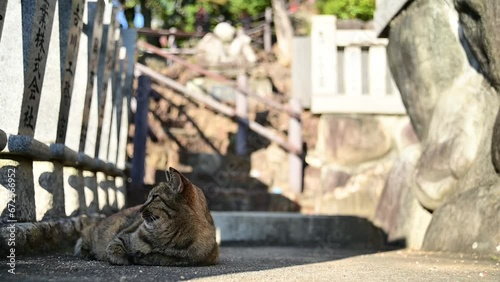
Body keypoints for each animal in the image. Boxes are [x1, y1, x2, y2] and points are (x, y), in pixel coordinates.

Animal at [73, 167, 218, 266]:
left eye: (155, 197)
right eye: (149, 197)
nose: (140, 208)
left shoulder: (199, 257)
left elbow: (165, 258)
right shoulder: (122, 236)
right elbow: (114, 248)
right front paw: (125, 257)